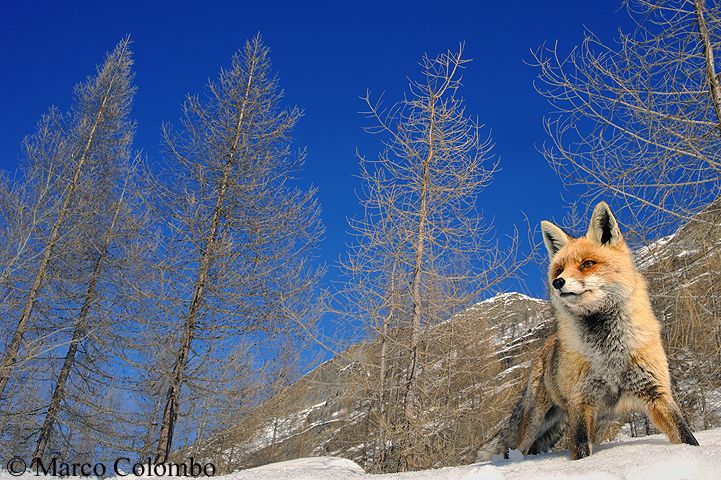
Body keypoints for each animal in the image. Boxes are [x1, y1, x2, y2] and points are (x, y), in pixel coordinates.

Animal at [478, 202, 696, 462]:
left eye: (587, 264)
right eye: (559, 270)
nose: (557, 283)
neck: (608, 350)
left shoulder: (655, 391)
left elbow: (686, 436)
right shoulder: (581, 400)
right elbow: (581, 451)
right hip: (539, 420)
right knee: (520, 446)